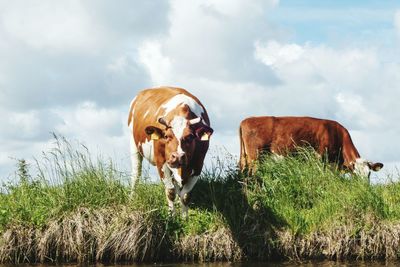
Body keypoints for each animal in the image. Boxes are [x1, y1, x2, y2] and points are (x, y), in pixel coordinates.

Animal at [127, 87, 212, 218]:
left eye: (190, 137)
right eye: (166, 136)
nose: (177, 156)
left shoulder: (198, 164)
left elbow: (186, 195)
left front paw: (184, 218)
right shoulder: (161, 162)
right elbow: (170, 191)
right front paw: (171, 216)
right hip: (133, 143)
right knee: (136, 174)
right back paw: (132, 199)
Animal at [239, 116, 382, 178]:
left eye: (369, 175)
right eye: (355, 175)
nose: (364, 188)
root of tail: (245, 120)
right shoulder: (320, 159)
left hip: (245, 157)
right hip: (255, 157)